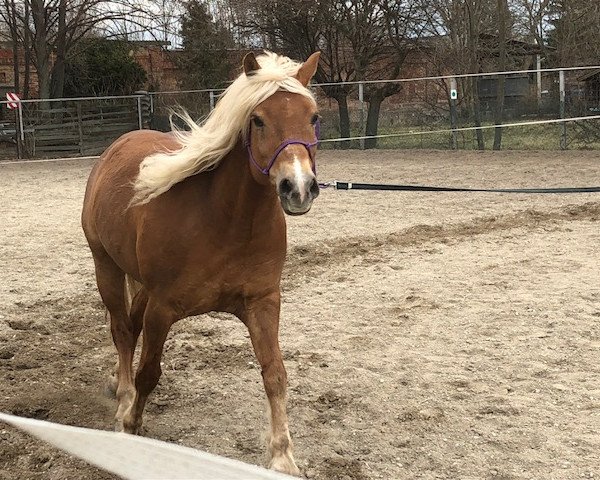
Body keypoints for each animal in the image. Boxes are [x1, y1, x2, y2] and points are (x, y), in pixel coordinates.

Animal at [83, 50, 324, 474]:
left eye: (312, 117)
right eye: (258, 120)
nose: (298, 189)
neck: (225, 219)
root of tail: (117, 146)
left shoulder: (263, 303)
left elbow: (275, 374)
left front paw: (282, 456)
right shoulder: (162, 308)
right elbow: (149, 373)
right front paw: (130, 424)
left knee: (128, 326)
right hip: (106, 268)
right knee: (123, 333)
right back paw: (123, 395)